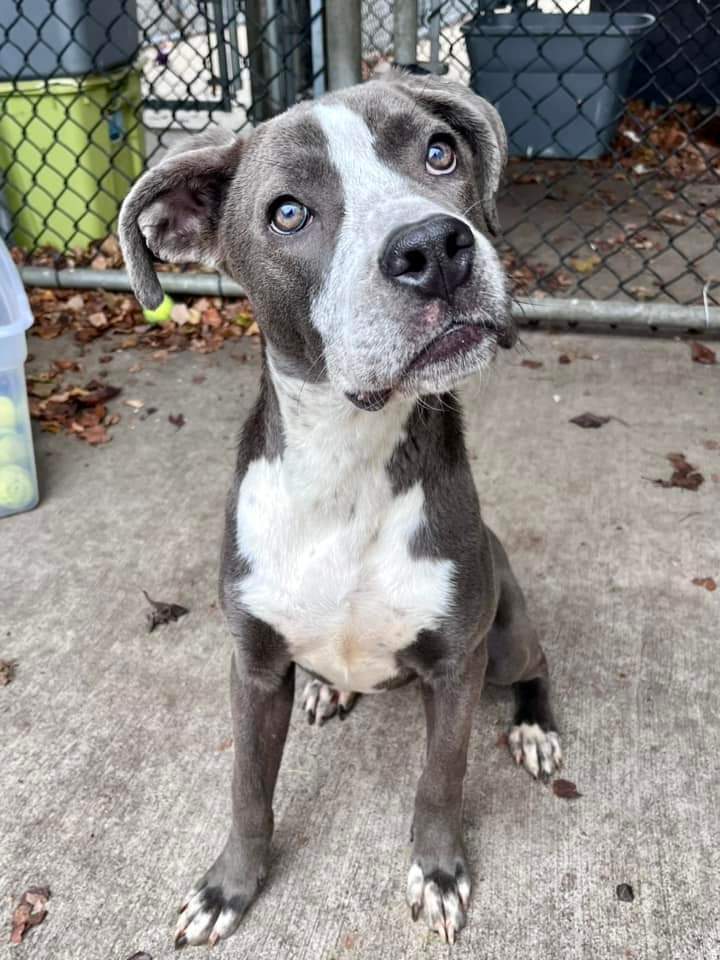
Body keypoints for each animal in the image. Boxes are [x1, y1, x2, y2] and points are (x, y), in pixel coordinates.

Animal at [119, 71, 564, 948]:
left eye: (440, 152)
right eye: (288, 212)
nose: (434, 248)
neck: (346, 466)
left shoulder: (456, 667)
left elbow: (441, 778)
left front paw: (438, 873)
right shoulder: (254, 668)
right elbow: (247, 789)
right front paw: (228, 887)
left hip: (504, 638)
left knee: (537, 666)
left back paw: (535, 727)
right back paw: (329, 688)